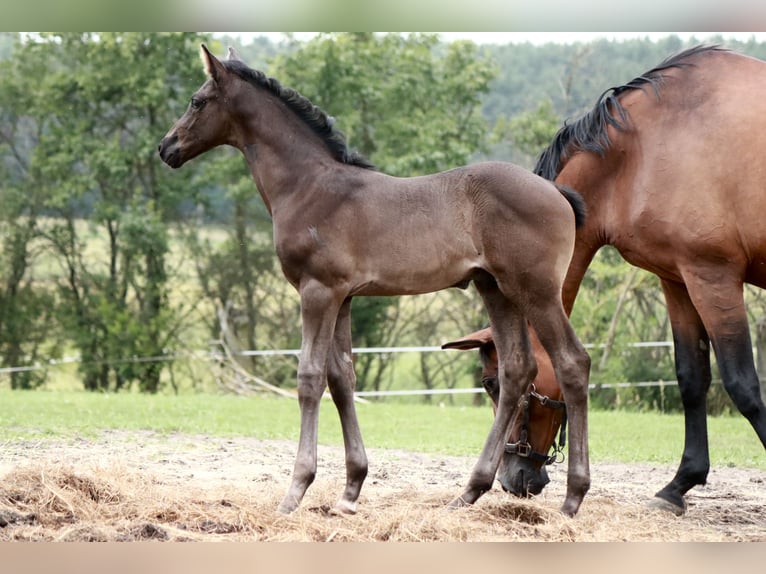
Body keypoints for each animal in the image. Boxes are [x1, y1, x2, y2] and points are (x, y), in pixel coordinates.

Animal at [159, 46, 592, 516]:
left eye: (197, 101)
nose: (166, 147)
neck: (309, 186)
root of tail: (556, 193)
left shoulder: (317, 291)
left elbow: (309, 378)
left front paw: (296, 490)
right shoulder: (343, 297)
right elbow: (341, 379)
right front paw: (351, 489)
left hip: (536, 291)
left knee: (573, 363)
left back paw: (572, 498)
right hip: (496, 289)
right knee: (517, 370)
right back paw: (469, 491)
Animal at [474, 45, 766, 516]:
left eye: (494, 383)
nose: (512, 478)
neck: (642, 151)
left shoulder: (713, 276)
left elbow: (743, 384)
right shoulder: (678, 278)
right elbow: (691, 378)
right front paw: (679, 484)